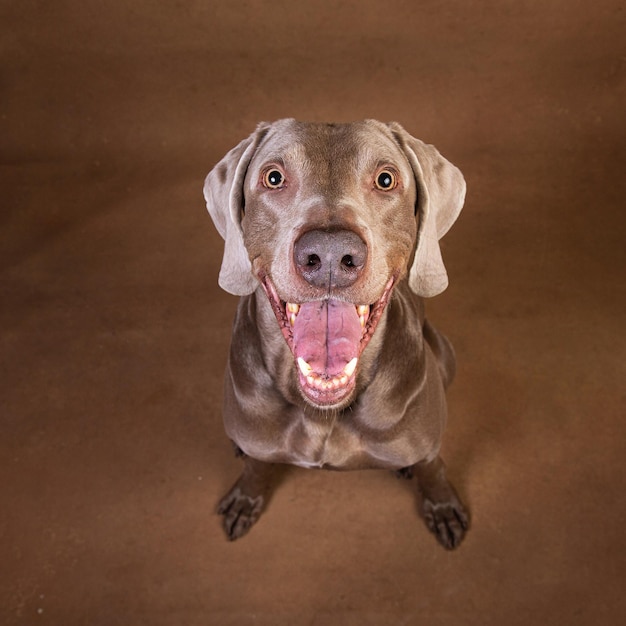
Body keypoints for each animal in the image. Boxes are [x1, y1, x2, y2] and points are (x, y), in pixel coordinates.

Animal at [205, 117, 468, 544]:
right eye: (274, 177)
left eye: (385, 179)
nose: (329, 254)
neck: (322, 414)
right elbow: (257, 467)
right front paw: (246, 495)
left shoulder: (427, 445)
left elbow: (433, 467)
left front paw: (442, 505)